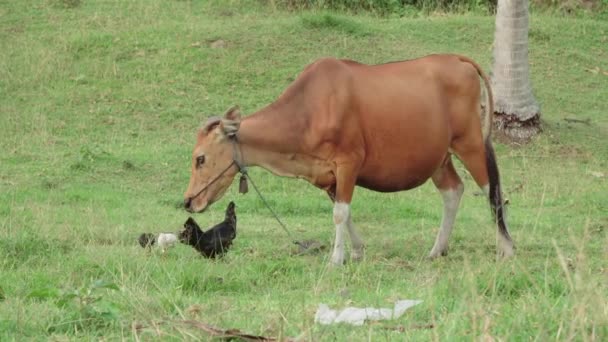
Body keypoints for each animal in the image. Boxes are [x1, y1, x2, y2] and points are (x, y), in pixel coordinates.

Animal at [182, 54, 512, 268]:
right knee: (453, 191)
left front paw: (336, 258)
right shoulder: (328, 176)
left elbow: (340, 213)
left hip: (470, 143)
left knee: (491, 192)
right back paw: (437, 249)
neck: (308, 111)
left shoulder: (348, 163)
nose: (188, 201)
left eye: (200, 158)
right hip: (439, 158)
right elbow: (345, 213)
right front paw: (356, 251)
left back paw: (506, 248)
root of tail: (459, 61)